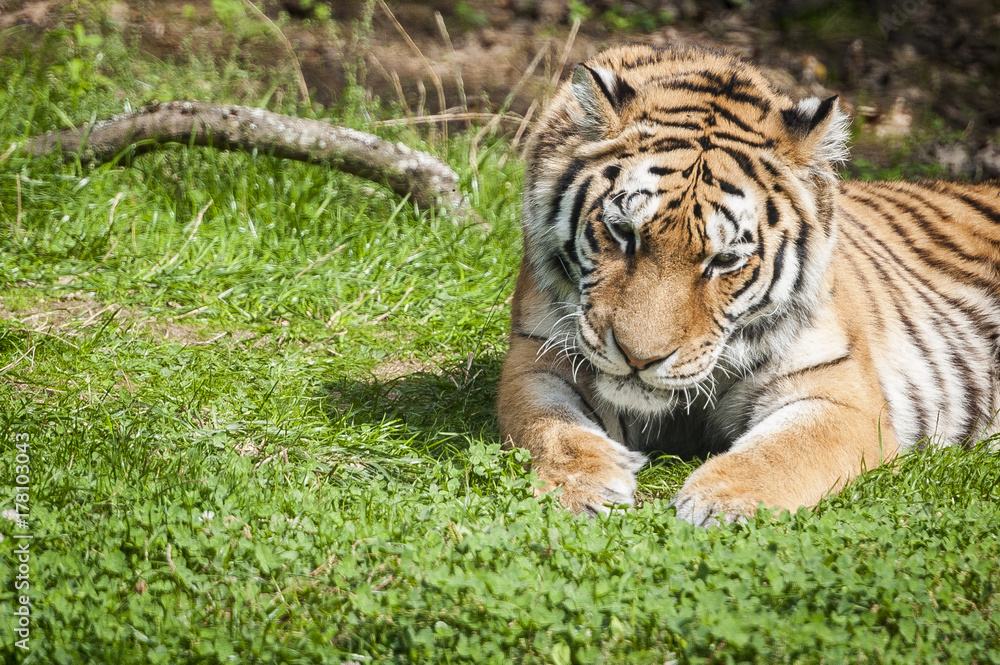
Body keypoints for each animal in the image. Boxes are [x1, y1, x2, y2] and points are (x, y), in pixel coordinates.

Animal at [497, 43, 1000, 526]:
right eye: (623, 232)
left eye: (724, 260)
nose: (640, 360)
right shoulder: (538, 356)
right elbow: (551, 427)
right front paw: (581, 488)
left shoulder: (838, 392)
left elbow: (784, 452)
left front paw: (721, 501)